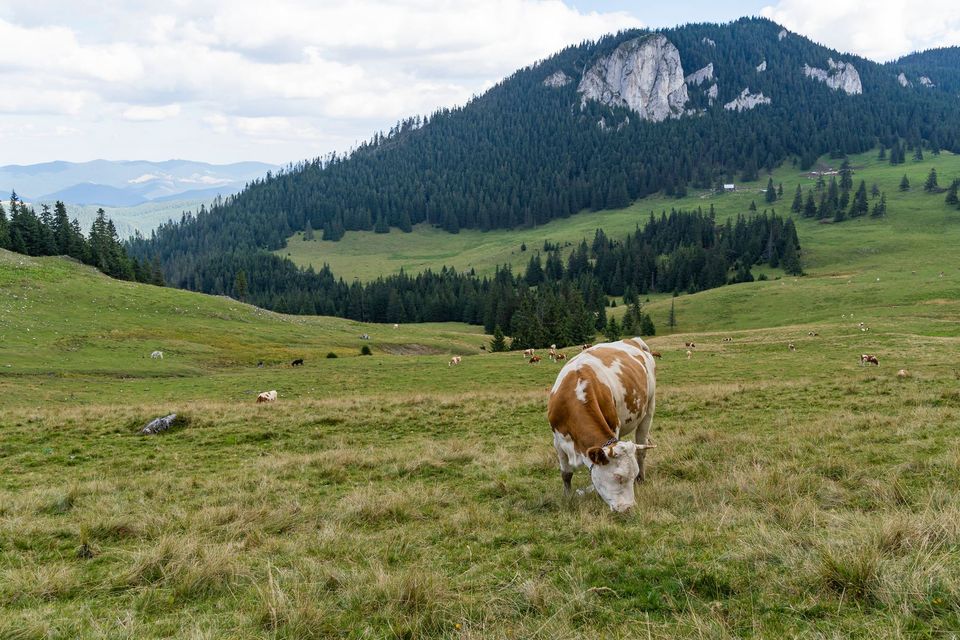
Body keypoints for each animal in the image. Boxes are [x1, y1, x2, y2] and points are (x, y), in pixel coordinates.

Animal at [552, 338, 656, 512]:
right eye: (617, 476)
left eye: (632, 475)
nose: (628, 508)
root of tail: (633, 340)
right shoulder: (558, 441)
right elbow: (566, 473)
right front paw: (567, 497)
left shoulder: (614, 428)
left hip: (649, 409)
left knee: (641, 450)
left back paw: (642, 478)